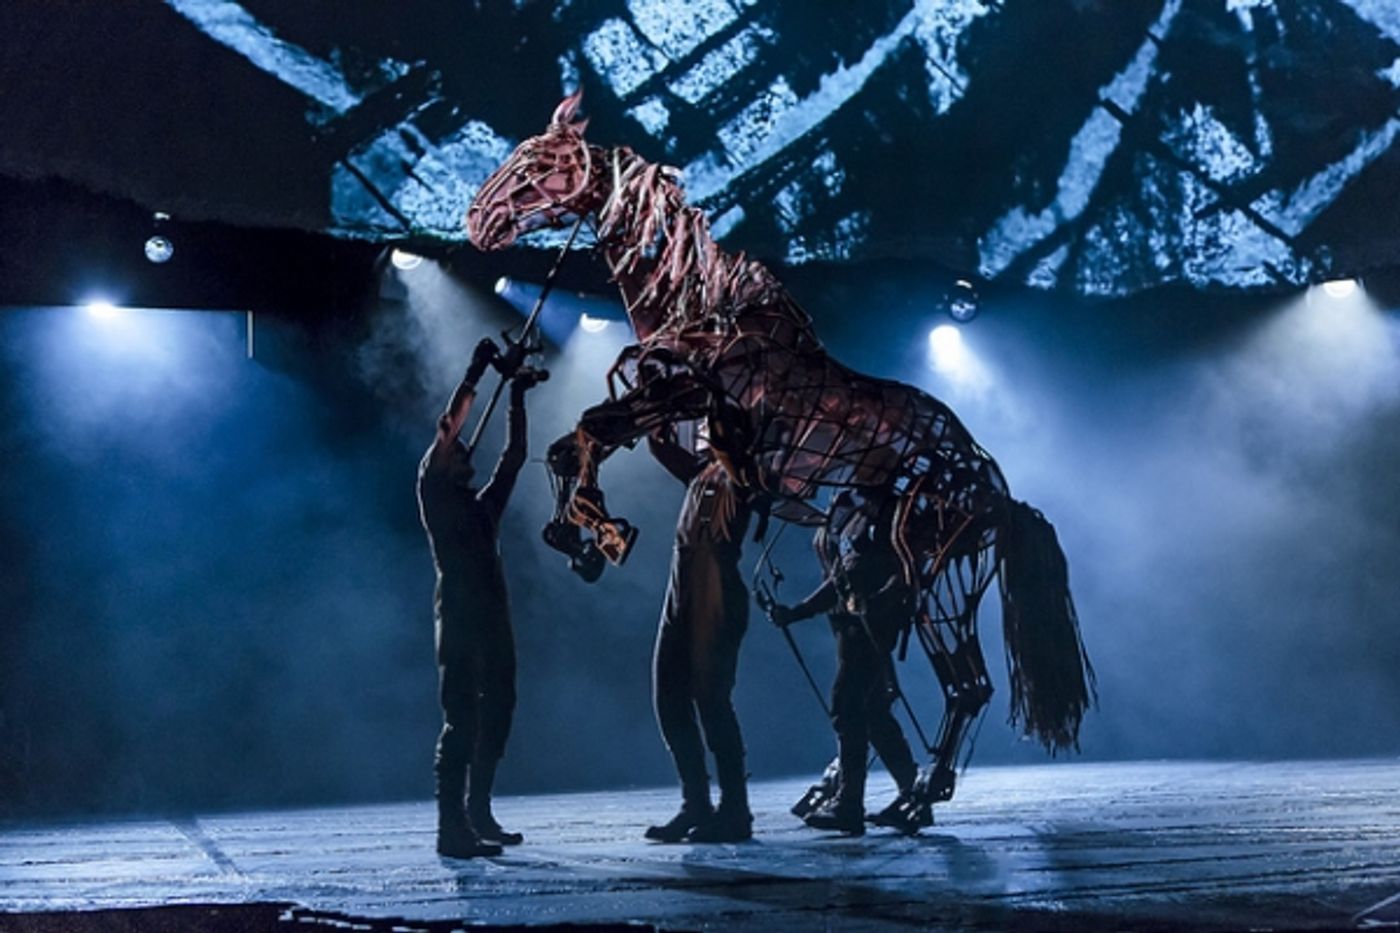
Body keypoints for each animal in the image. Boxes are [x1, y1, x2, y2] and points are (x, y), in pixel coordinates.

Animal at [466, 92, 1095, 809]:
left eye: (538, 162)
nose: (478, 221)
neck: (704, 307)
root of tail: (996, 489)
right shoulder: (692, 434)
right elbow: (582, 439)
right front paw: (581, 535)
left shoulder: (695, 401)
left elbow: (589, 433)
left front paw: (597, 531)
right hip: (880, 559)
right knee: (885, 682)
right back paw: (853, 789)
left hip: (941, 585)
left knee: (966, 685)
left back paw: (916, 797)